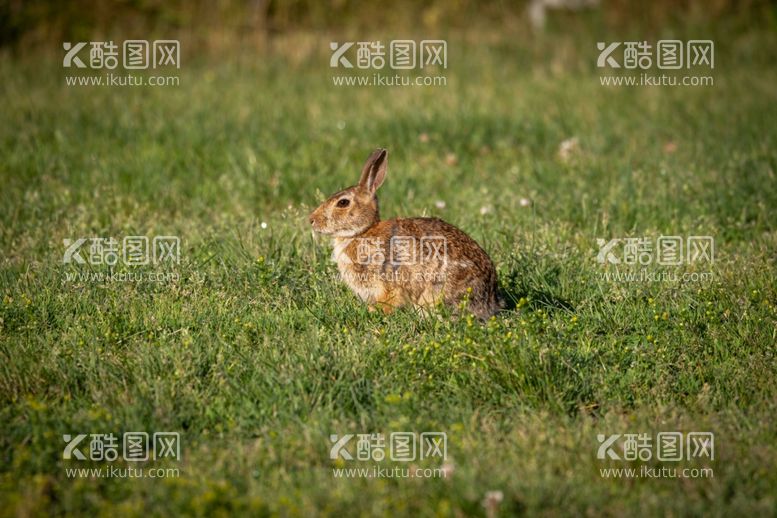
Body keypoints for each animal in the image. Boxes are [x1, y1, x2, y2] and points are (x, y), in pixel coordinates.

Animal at [306, 147, 500, 320]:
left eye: (343, 203)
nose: (312, 220)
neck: (363, 231)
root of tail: (488, 299)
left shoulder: (388, 283)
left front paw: (374, 312)